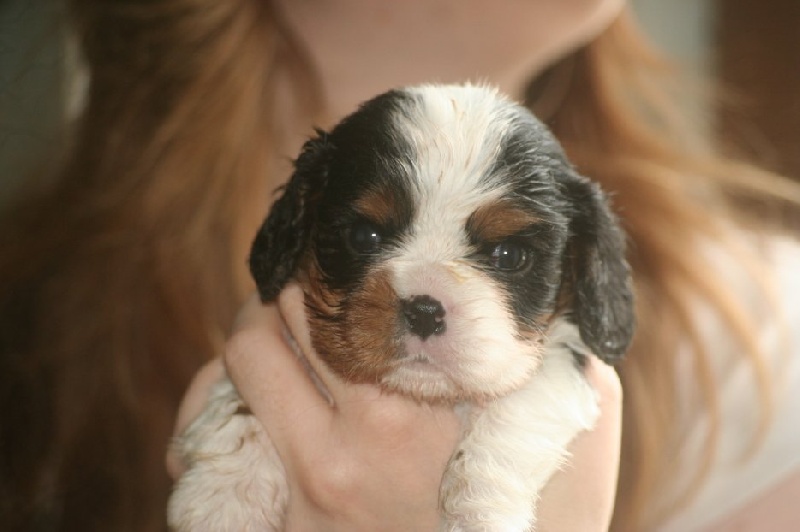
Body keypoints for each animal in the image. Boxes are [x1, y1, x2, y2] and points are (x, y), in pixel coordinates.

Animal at [167, 85, 632, 528]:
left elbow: (514, 413)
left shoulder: (563, 358)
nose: (425, 310)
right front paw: (224, 493)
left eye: (510, 256)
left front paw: (479, 507)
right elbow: (238, 404)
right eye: (363, 236)